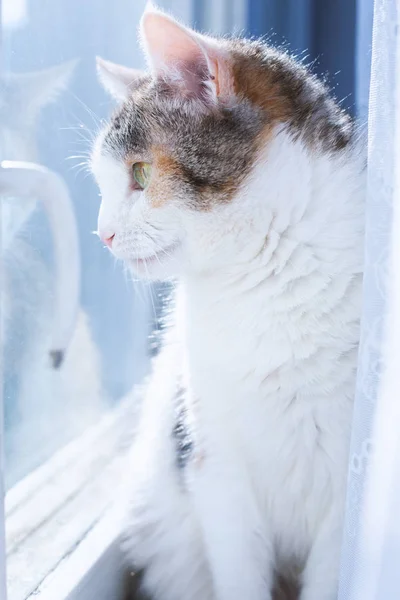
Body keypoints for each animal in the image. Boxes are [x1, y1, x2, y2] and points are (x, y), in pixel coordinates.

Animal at [91, 5, 366, 600]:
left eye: (141, 173)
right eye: (101, 183)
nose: (101, 234)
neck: (261, 281)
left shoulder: (343, 492)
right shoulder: (215, 466)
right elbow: (239, 571)